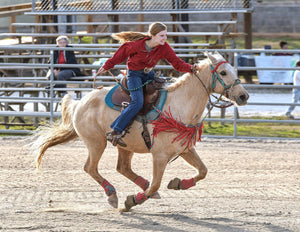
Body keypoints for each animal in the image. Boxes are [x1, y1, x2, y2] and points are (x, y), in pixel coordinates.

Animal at [31, 51, 250, 211]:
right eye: (223, 73)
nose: (244, 96)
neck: (178, 106)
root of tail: (79, 102)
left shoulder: (185, 149)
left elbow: (203, 171)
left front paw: (178, 183)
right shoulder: (159, 156)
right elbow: (156, 183)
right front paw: (132, 201)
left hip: (125, 145)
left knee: (123, 168)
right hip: (96, 143)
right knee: (90, 168)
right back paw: (113, 195)